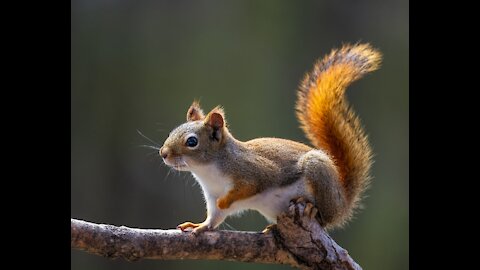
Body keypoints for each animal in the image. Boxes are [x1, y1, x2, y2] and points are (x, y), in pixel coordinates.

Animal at [159, 43, 380, 233]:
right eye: (172, 132)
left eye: (192, 142)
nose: (163, 153)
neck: (208, 171)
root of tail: (342, 202)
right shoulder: (212, 196)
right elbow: (214, 217)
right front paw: (200, 226)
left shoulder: (253, 171)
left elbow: (248, 187)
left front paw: (226, 200)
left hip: (318, 173)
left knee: (325, 217)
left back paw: (311, 208)